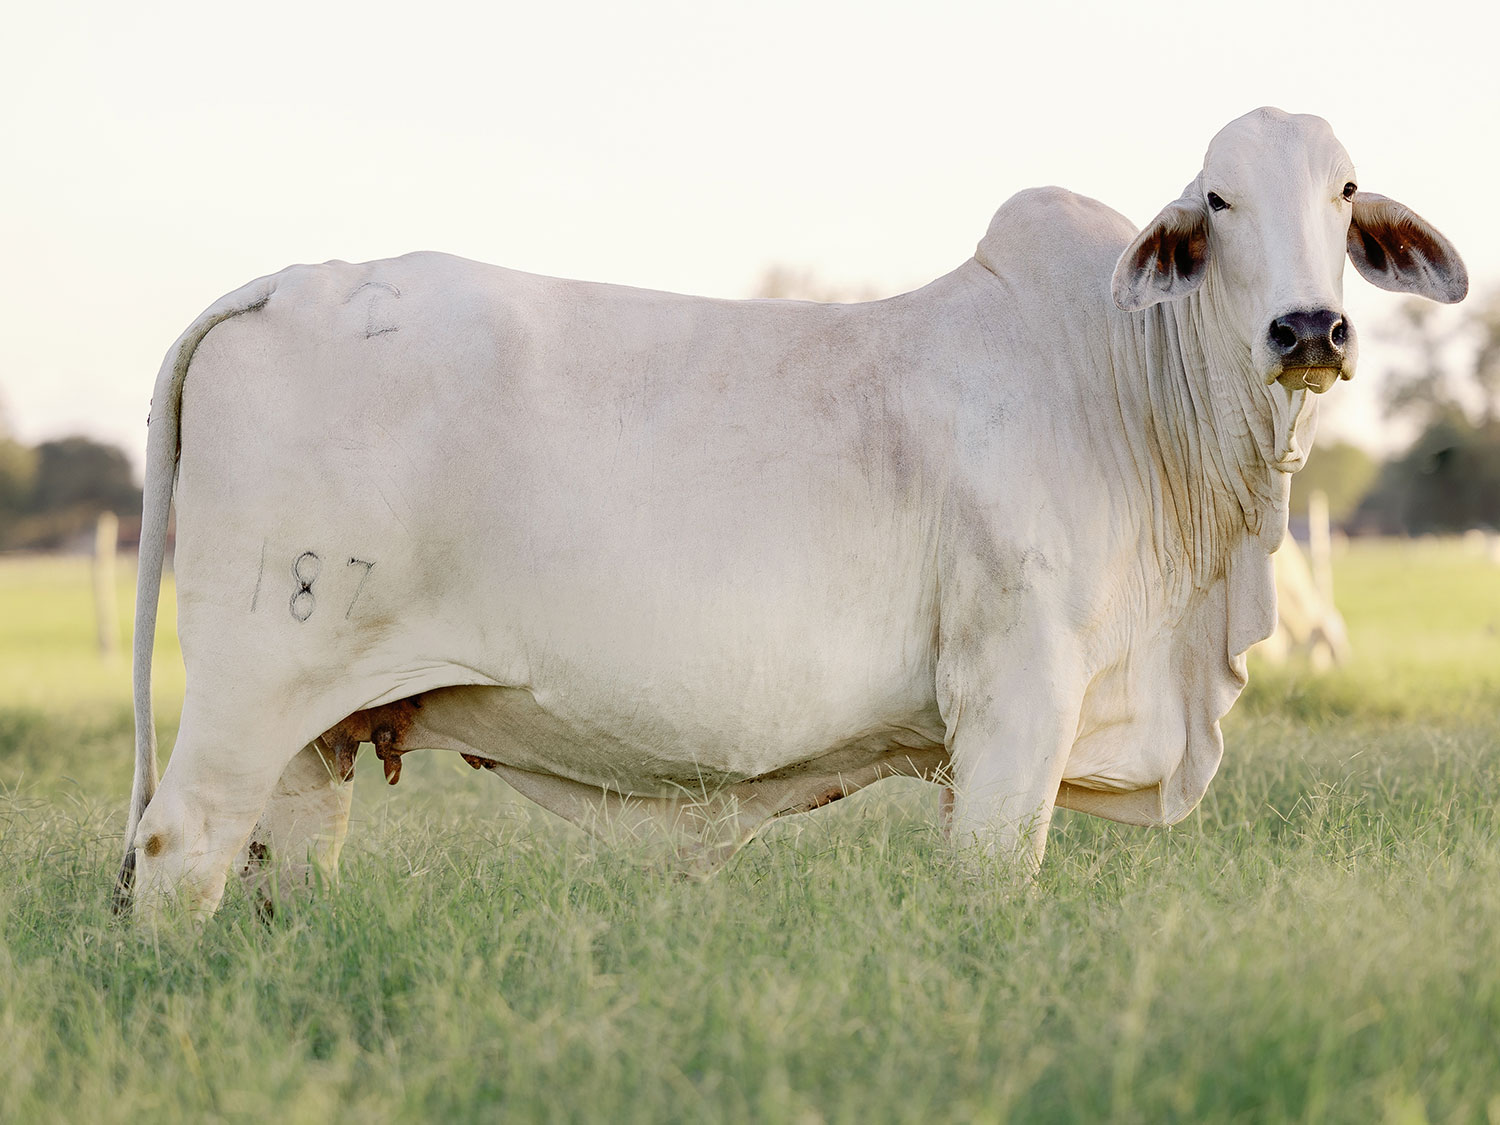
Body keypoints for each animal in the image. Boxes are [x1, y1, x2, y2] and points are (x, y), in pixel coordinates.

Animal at [117, 108, 1464, 924]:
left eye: (1345, 191)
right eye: (1219, 200)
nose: (1309, 329)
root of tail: (291, 280)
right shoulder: (1018, 699)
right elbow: (994, 887)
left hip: (318, 733)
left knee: (284, 867)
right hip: (248, 691)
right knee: (176, 852)